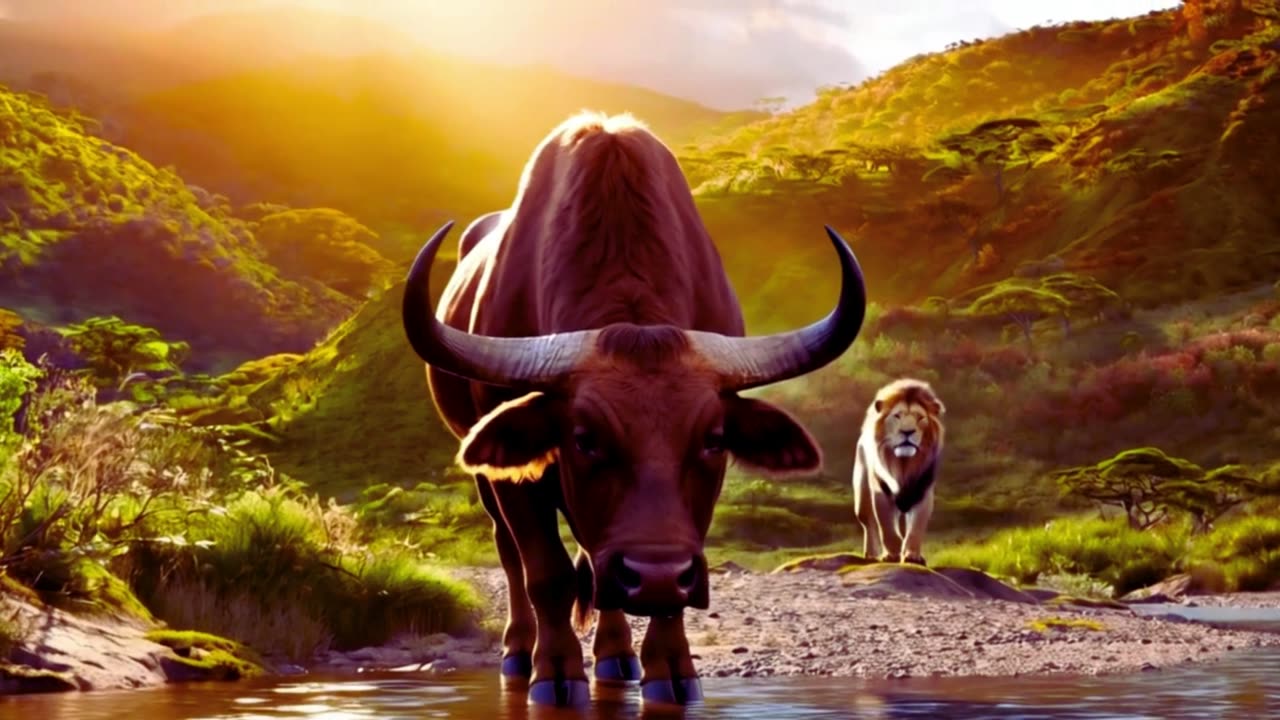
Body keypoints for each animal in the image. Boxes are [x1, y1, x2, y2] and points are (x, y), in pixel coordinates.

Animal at [401, 111, 867, 707]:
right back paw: (519, 651)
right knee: (513, 555)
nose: (656, 573)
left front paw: (670, 669)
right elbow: (546, 572)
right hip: (489, 478)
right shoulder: (520, 479)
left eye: (713, 438)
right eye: (584, 438)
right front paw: (555, 674)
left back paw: (617, 656)